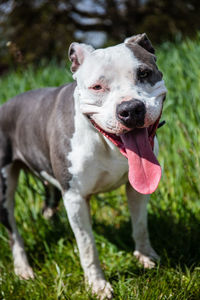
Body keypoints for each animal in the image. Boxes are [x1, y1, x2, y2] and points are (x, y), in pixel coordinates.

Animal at [0, 34, 166, 298]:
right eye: (97, 87)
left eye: (144, 73)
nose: (130, 109)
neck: (106, 142)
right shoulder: (75, 197)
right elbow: (87, 245)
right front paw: (97, 285)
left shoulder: (137, 189)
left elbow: (140, 225)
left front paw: (146, 257)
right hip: (4, 188)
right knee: (13, 230)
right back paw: (23, 269)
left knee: (48, 203)